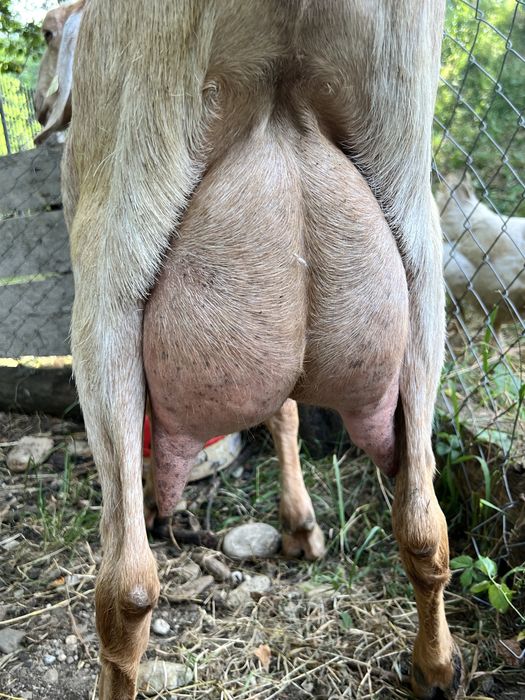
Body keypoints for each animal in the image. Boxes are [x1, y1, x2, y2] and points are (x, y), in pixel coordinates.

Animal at [37, 1, 463, 698]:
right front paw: (300, 525)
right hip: (421, 260)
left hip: (109, 269)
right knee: (425, 527)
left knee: (126, 583)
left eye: (48, 34)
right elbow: (284, 410)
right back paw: (435, 667)